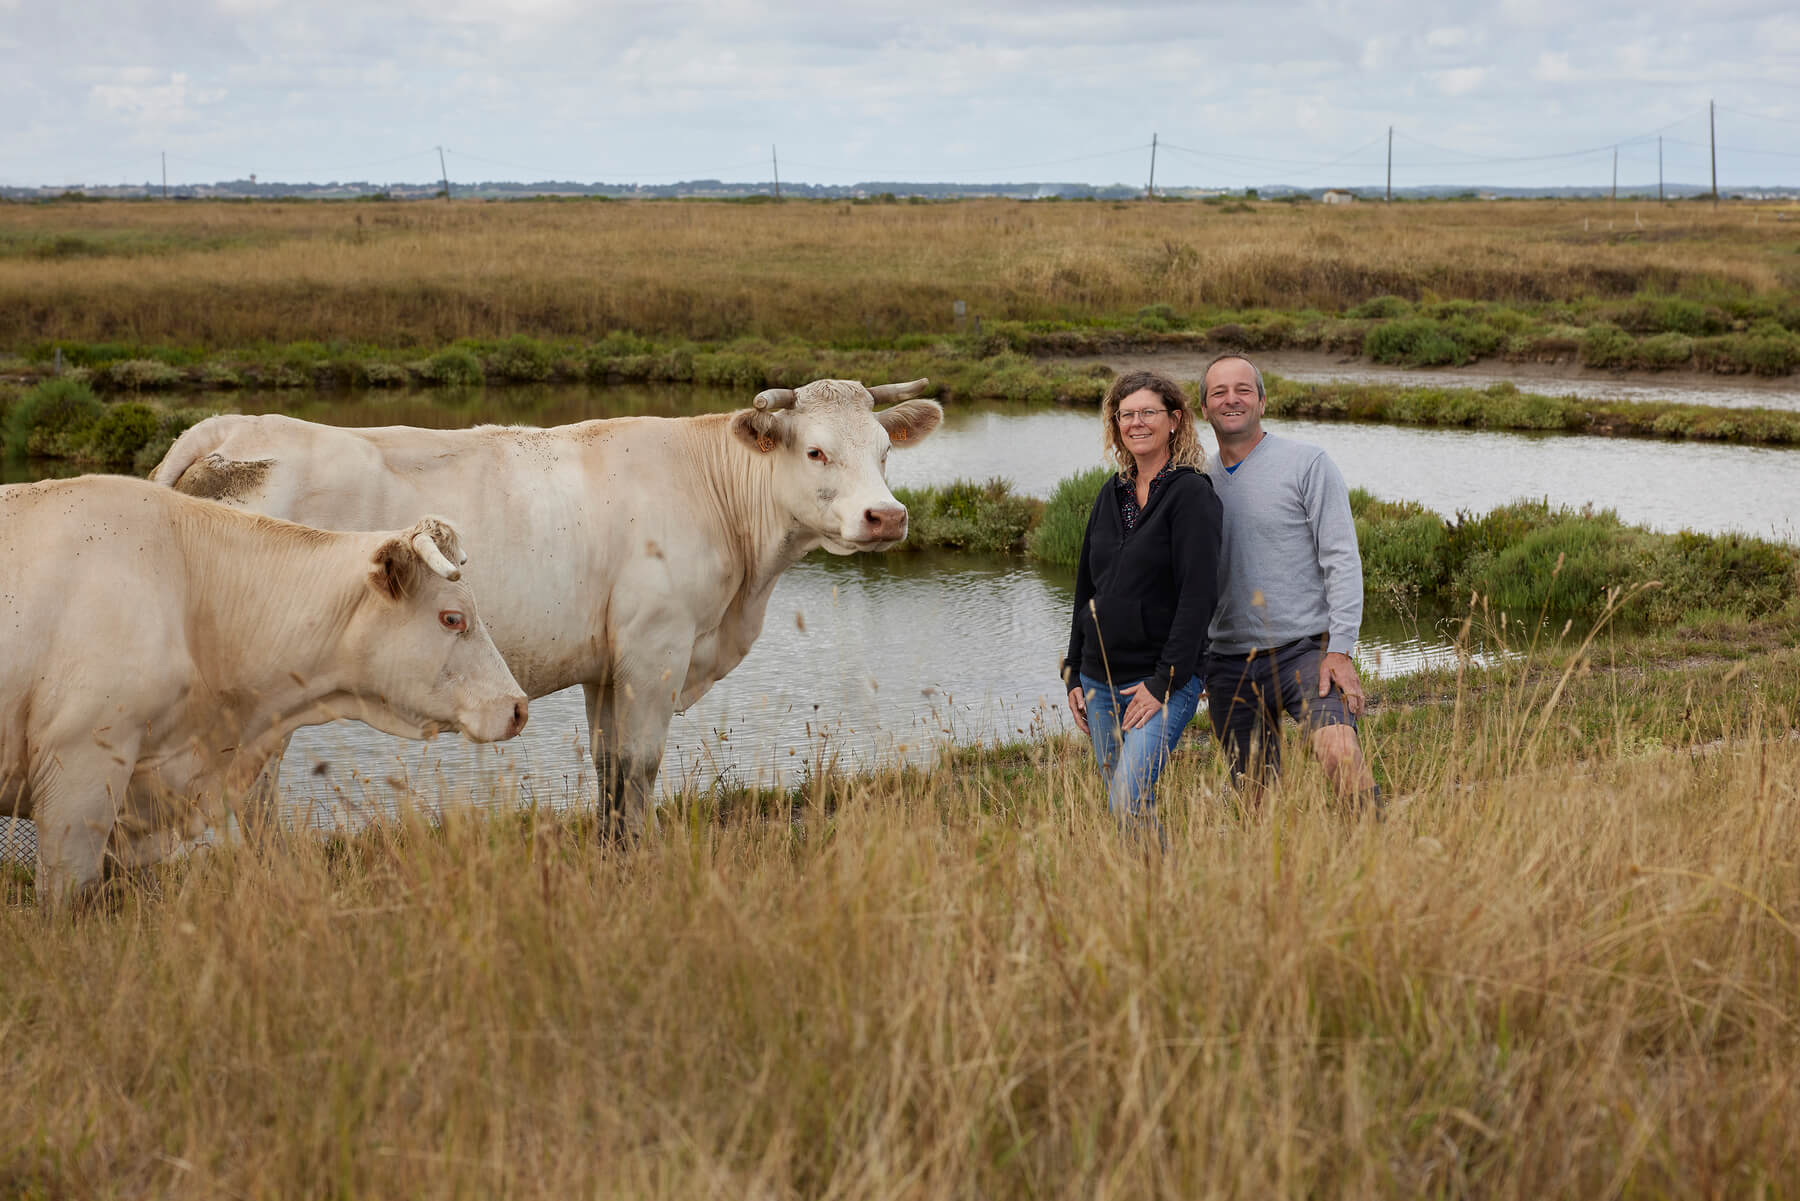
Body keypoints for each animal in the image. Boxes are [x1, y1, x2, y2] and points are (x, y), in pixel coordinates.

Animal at [149, 378, 943, 840]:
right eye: (815, 452)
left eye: (884, 449)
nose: (886, 516)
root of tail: (234, 428)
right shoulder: (655, 652)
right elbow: (640, 767)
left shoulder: (607, 666)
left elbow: (608, 770)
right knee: (247, 797)